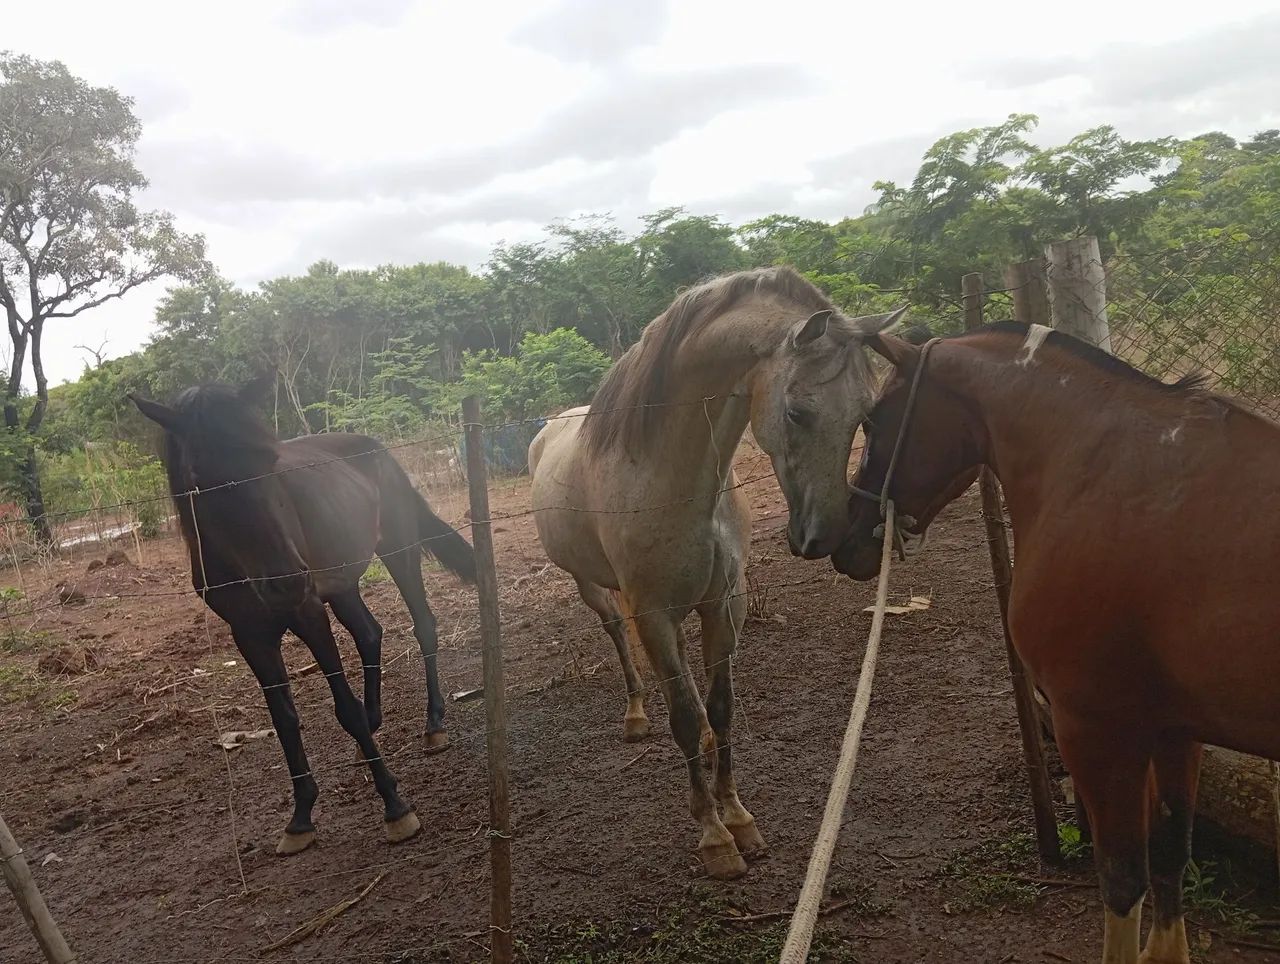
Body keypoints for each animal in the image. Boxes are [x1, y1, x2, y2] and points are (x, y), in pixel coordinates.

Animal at [130, 381, 476, 856]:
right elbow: (284, 721)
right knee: (370, 633)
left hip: (397, 550)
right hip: (341, 584)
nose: (286, 581)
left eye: (268, 463)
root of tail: (380, 451)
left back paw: (434, 723)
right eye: (200, 478)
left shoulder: (308, 611)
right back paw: (373, 730)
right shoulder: (249, 635)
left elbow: (344, 709)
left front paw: (395, 807)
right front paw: (300, 817)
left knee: (423, 625)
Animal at [529, 266, 904, 878]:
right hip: (594, 589)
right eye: (797, 412)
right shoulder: (653, 614)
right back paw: (636, 713)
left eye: (864, 414)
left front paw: (739, 817)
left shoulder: (725, 605)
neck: (671, 480)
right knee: (616, 634)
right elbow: (683, 716)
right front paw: (714, 838)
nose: (824, 537)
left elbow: (722, 709)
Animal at [831, 321, 1280, 964]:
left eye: (873, 420)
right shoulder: (1176, 729)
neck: (1105, 469)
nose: (845, 543)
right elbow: (1171, 853)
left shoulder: (1096, 729)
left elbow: (1122, 880)